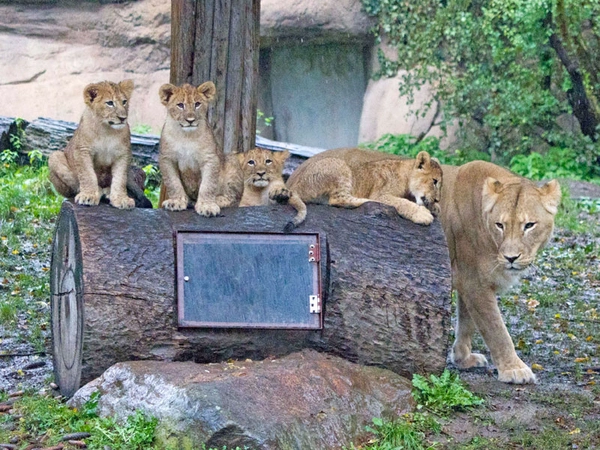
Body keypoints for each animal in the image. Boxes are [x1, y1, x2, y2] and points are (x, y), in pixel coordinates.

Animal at [440, 162, 564, 384]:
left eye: (529, 225)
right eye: (500, 225)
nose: (511, 258)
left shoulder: (466, 279)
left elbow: (467, 321)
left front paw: (463, 358)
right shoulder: (474, 282)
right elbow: (496, 329)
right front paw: (514, 370)